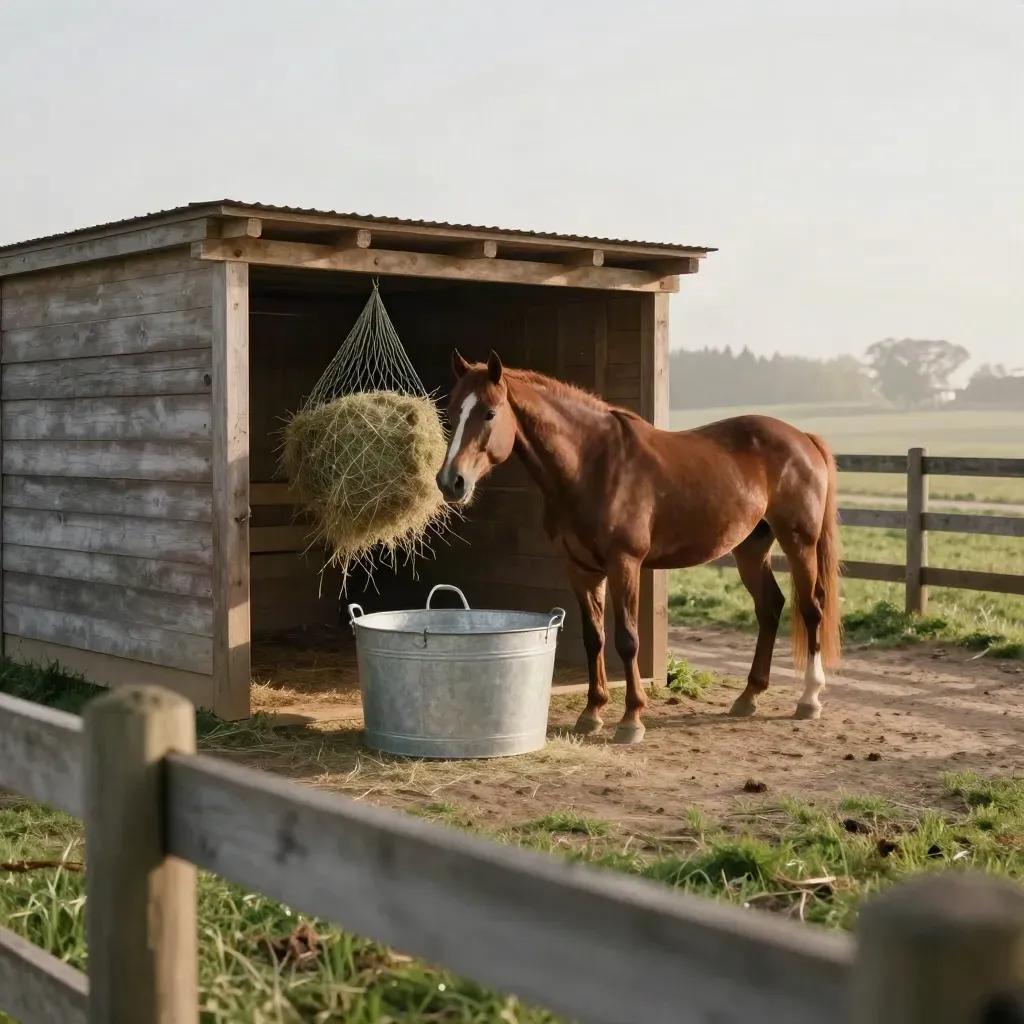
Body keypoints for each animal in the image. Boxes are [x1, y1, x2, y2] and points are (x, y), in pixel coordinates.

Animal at [435, 350, 842, 745]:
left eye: (490, 412)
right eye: (452, 411)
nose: (451, 482)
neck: (591, 466)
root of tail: (803, 438)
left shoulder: (624, 564)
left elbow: (627, 639)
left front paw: (631, 719)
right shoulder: (580, 569)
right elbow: (594, 637)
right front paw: (592, 713)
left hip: (799, 541)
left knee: (811, 608)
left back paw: (809, 698)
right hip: (750, 549)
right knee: (769, 607)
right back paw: (749, 696)